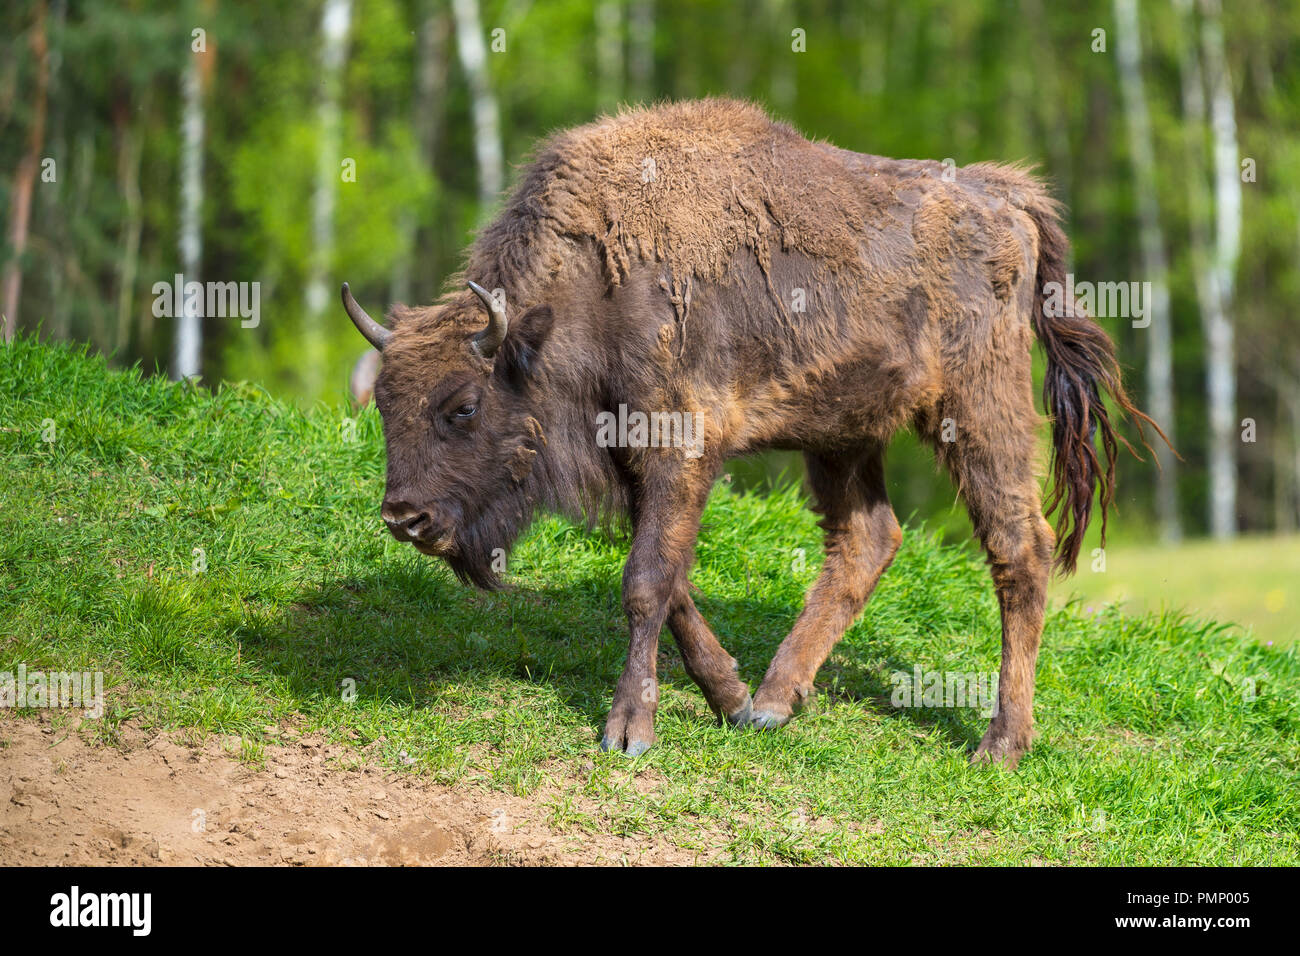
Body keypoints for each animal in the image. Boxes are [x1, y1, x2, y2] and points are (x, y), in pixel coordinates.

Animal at [338, 98, 1159, 770]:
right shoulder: (641, 463)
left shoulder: (679, 446)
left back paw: (1000, 744)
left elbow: (645, 581)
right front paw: (729, 699)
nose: (404, 517)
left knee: (1019, 547)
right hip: (843, 436)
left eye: (463, 407)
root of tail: (1004, 195)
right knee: (868, 540)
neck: (590, 283)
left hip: (978, 412)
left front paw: (628, 732)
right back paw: (773, 701)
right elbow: (671, 583)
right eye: (383, 403)